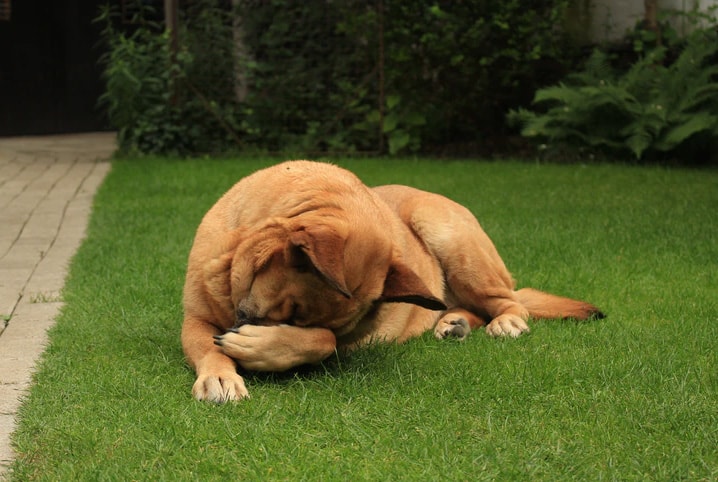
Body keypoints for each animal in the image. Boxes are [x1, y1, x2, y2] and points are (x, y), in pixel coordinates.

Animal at [180, 160, 600, 402]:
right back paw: (454, 322)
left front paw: (261, 347)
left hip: (449, 236)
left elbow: (324, 341)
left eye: (295, 318)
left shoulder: (343, 342)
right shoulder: (195, 320)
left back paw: (506, 322)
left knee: (508, 300)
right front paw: (220, 375)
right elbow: (208, 346)